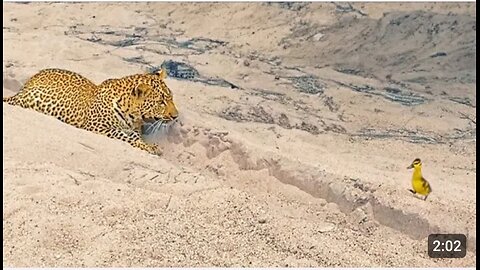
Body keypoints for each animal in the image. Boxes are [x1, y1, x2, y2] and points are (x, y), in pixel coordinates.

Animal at [2, 67, 179, 155]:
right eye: (161, 102)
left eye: (171, 97)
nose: (176, 116)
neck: (133, 116)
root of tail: (24, 87)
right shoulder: (97, 127)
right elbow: (121, 135)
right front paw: (150, 147)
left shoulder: (134, 130)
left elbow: (134, 137)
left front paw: (148, 146)